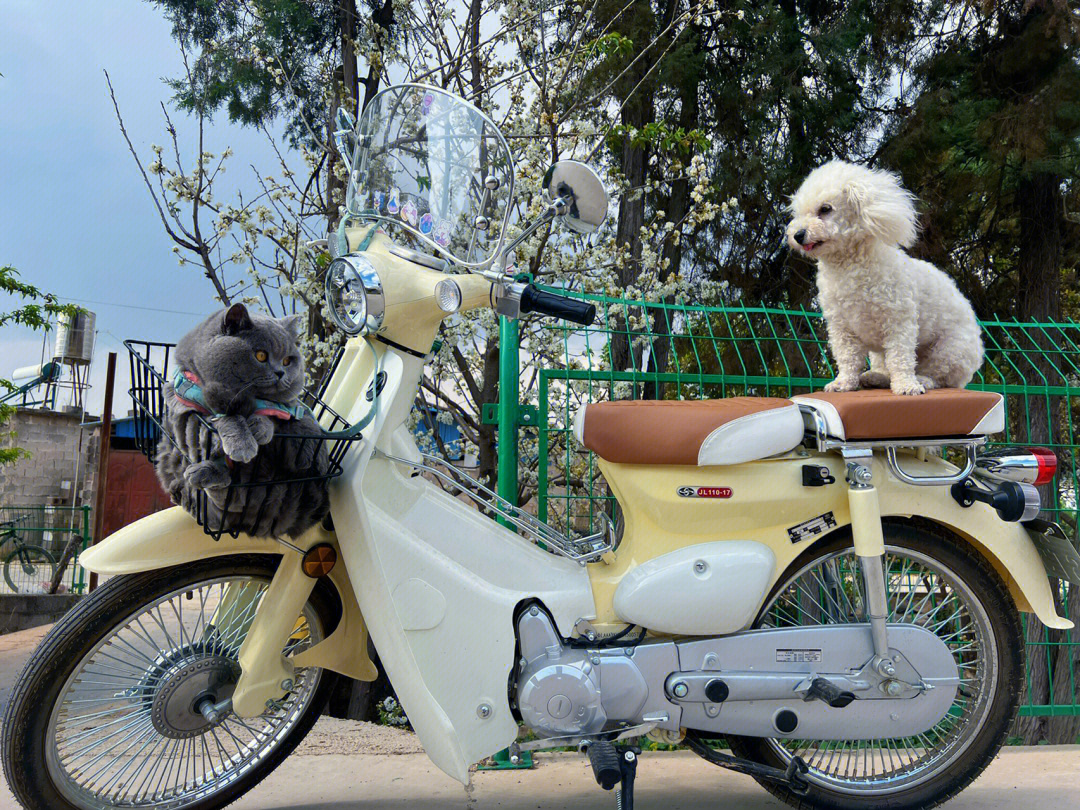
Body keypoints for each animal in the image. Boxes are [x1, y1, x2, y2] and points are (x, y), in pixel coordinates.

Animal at [154, 304, 326, 540]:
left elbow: (272, 414)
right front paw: (242, 443)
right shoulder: (180, 399)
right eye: (261, 355)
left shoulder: (288, 407)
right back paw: (199, 478)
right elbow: (226, 418)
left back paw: (204, 476)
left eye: (287, 360)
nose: (281, 372)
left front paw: (259, 427)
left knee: (237, 498)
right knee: (224, 504)